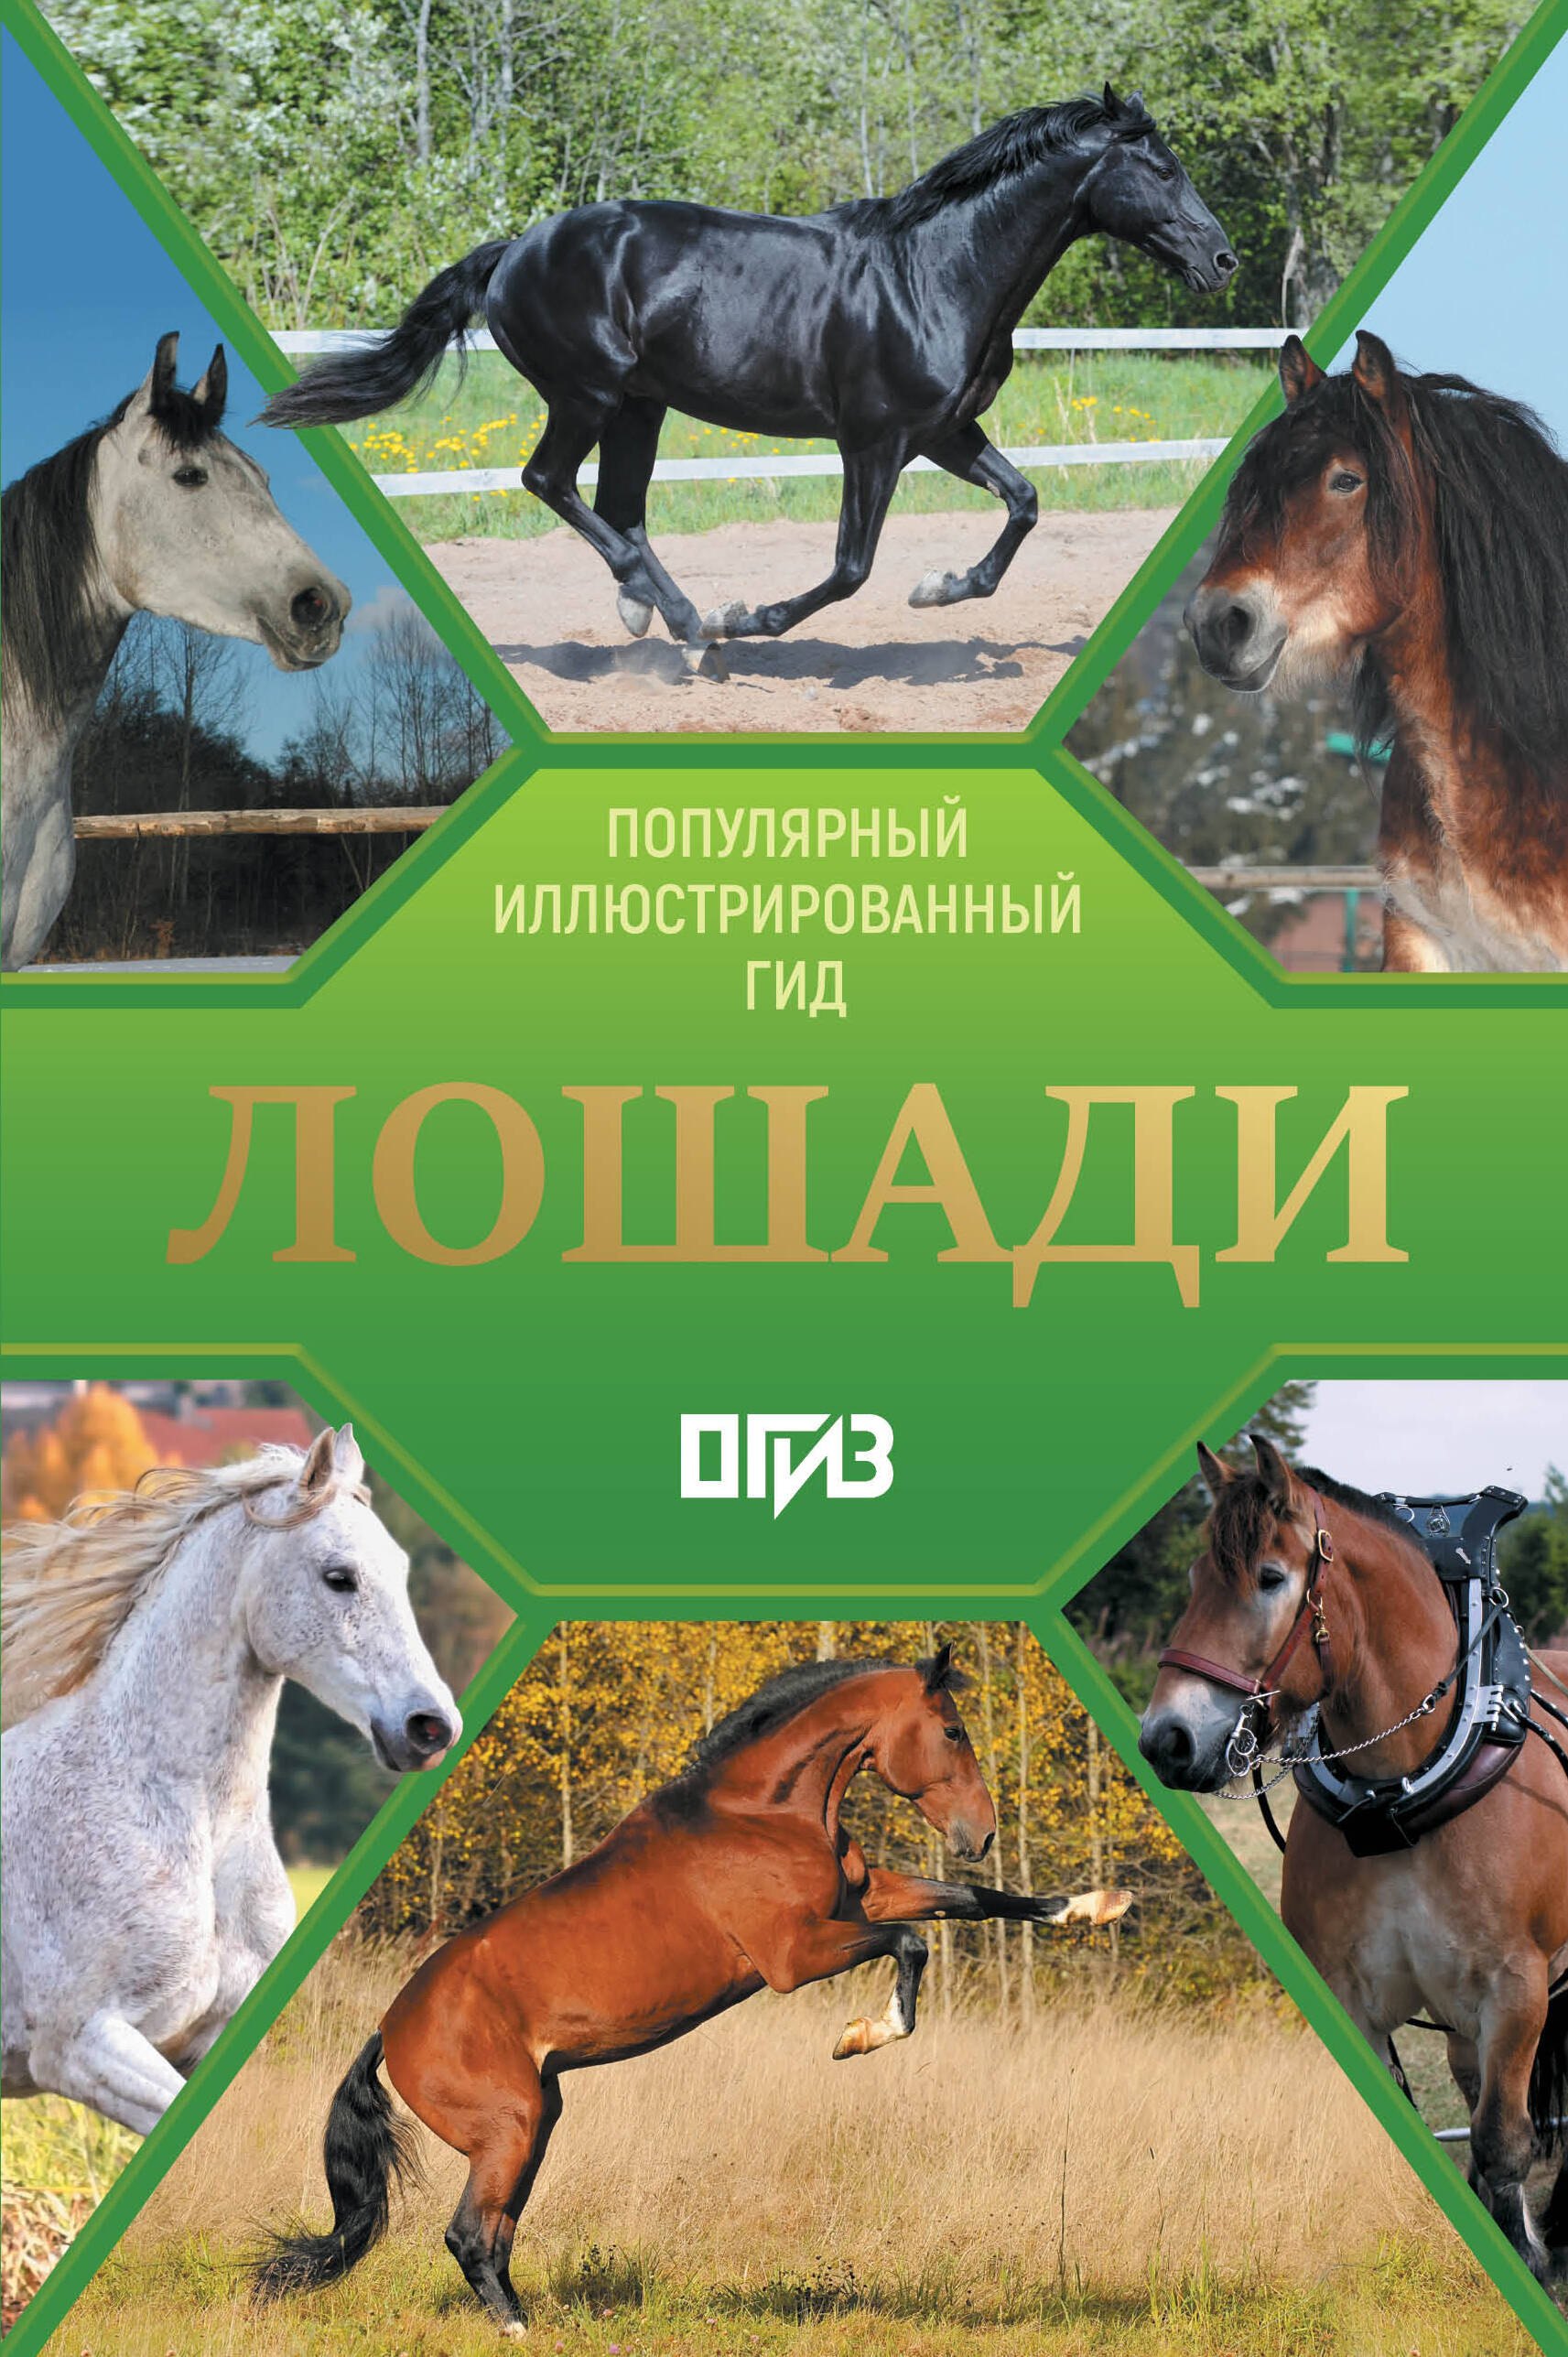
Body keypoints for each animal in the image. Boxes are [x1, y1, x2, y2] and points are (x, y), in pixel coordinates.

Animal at [253, 1644, 1131, 2333]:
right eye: (952, 1730)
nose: (980, 1833)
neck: (763, 1812)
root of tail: (389, 2028)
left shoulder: (862, 1899)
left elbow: (974, 1901)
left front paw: (1096, 1904)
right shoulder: (795, 1953)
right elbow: (915, 1942)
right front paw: (859, 2036)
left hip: (537, 2120)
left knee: (495, 2235)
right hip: (510, 2124)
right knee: (469, 2235)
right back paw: (519, 2330)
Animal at [260, 88, 1235, 675]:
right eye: (1161, 169)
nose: (1221, 261)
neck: (934, 273)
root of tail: (516, 249)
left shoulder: (943, 433)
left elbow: (1025, 503)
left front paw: (940, 587)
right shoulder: (873, 441)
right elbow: (849, 569)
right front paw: (746, 617)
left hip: (640, 407)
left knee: (618, 509)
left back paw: (657, 619)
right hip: (587, 395)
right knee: (551, 483)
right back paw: (690, 622)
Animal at [1138, 1436, 1568, 2285]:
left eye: (1271, 1578)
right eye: (1197, 1576)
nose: (1164, 1739)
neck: (1399, 1796)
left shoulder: (1518, 1990)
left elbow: (1501, 2142)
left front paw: (1528, 2262)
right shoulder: (1350, 1995)